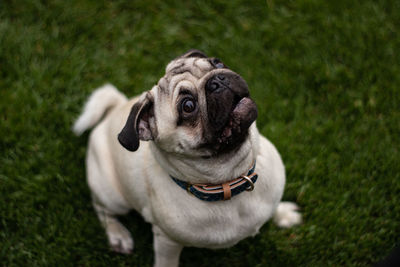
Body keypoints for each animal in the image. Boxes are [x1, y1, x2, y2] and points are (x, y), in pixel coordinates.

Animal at [73, 49, 302, 266]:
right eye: (188, 106)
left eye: (218, 63)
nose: (217, 80)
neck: (231, 179)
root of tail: (115, 107)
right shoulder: (167, 241)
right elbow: (167, 262)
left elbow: (274, 207)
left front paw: (283, 214)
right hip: (113, 196)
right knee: (102, 210)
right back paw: (118, 235)